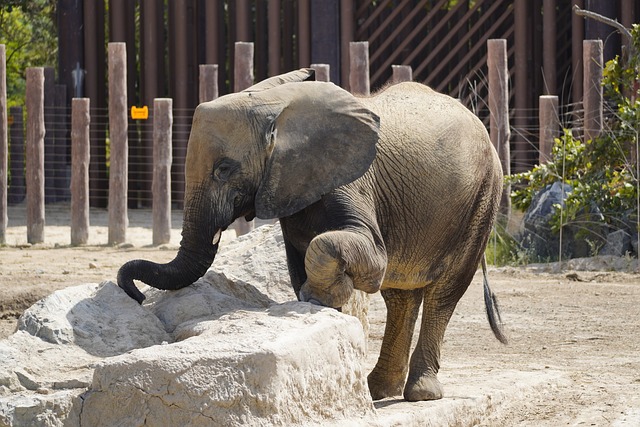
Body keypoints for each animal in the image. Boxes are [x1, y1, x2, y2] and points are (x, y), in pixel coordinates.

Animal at [117, 68, 508, 402]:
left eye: (224, 169)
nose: (137, 296)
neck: (277, 106)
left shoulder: (351, 178)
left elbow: (364, 254)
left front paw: (322, 296)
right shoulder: (289, 185)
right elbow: (298, 261)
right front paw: (326, 307)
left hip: (483, 197)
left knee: (443, 292)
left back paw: (420, 393)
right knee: (401, 296)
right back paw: (377, 390)